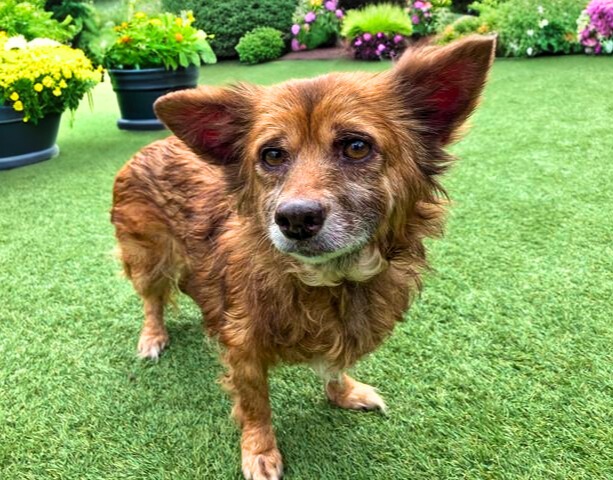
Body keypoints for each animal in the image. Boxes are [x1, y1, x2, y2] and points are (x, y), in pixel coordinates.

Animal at [109, 35, 492, 478]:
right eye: (272, 155)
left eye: (356, 147)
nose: (295, 218)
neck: (329, 281)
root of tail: (151, 145)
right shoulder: (243, 349)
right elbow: (255, 404)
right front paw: (259, 451)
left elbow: (335, 365)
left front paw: (343, 392)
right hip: (149, 259)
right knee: (152, 301)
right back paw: (153, 337)